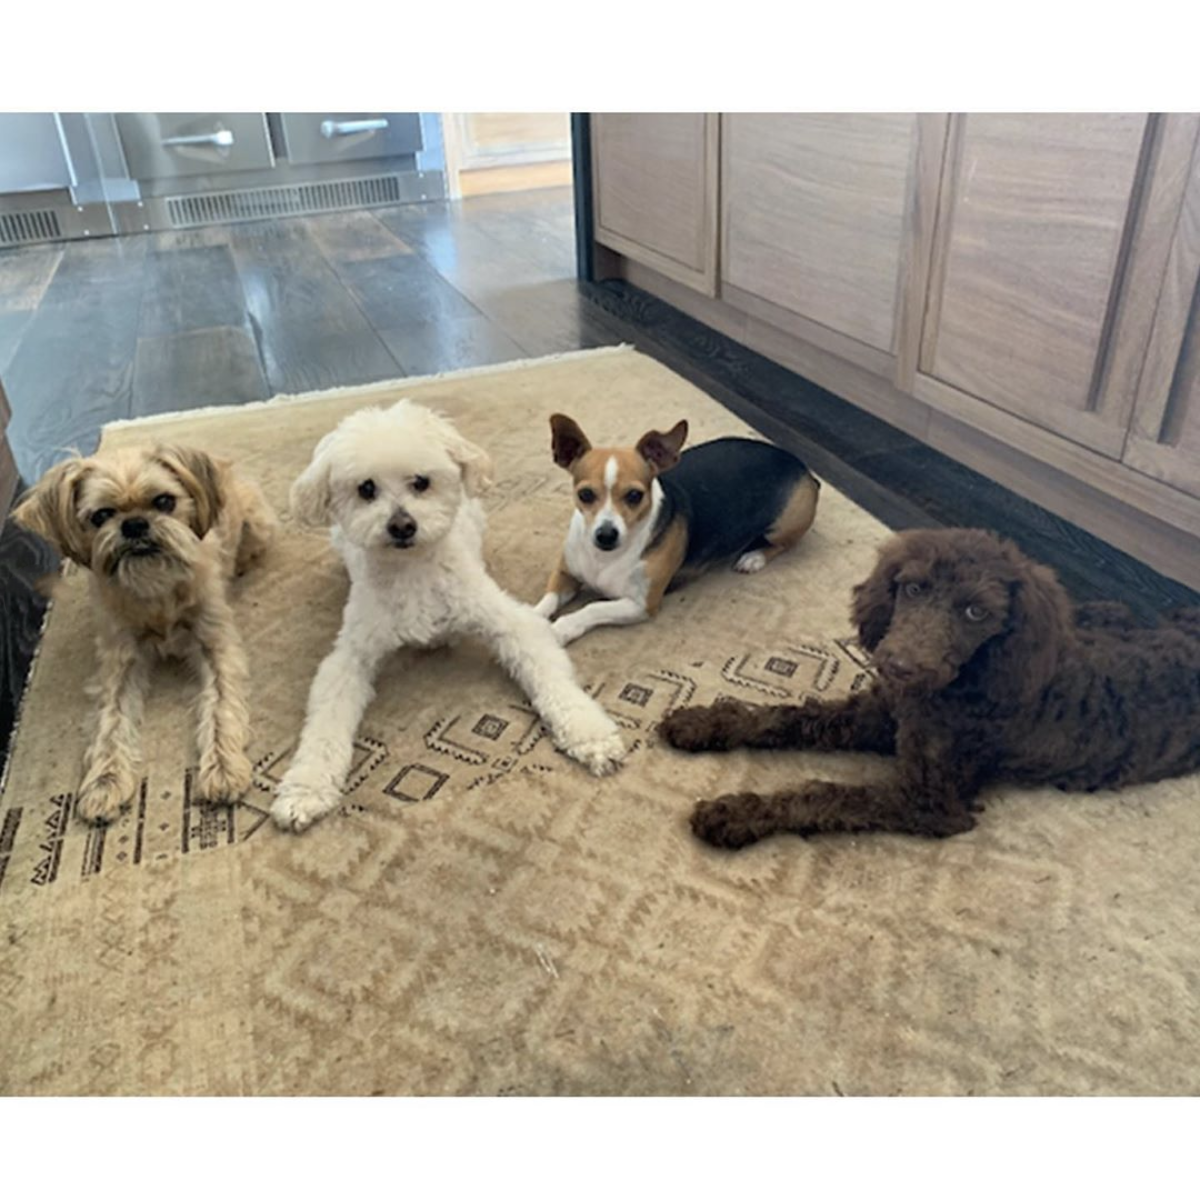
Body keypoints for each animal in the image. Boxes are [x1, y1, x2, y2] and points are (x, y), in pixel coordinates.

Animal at [13, 446, 276, 830]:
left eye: (164, 501)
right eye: (101, 516)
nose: (134, 524)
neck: (155, 590)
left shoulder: (215, 646)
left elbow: (220, 708)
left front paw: (224, 767)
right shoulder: (120, 663)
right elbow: (111, 723)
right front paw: (104, 782)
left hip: (257, 525)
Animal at [271, 400, 628, 835]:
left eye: (421, 482)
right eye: (366, 488)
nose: (402, 526)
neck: (415, 570)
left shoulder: (511, 623)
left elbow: (553, 682)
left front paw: (591, 736)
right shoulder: (350, 656)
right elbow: (325, 725)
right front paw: (305, 789)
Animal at [535, 420, 816, 653]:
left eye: (635, 496)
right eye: (585, 495)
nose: (606, 535)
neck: (605, 557)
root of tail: (805, 469)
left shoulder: (641, 604)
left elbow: (592, 608)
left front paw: (558, 629)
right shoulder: (565, 574)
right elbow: (547, 600)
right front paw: (532, 618)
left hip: (785, 524)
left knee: (782, 545)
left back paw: (754, 557)